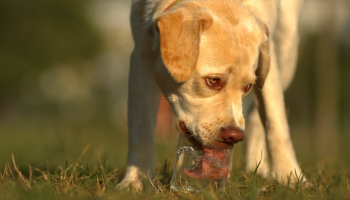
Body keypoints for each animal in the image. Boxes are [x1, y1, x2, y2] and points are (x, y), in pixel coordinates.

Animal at [117, 0, 304, 191]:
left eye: (247, 87)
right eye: (213, 80)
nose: (234, 136)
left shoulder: (268, 57)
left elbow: (277, 124)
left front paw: (291, 179)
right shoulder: (141, 52)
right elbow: (141, 129)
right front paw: (136, 181)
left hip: (287, 49)